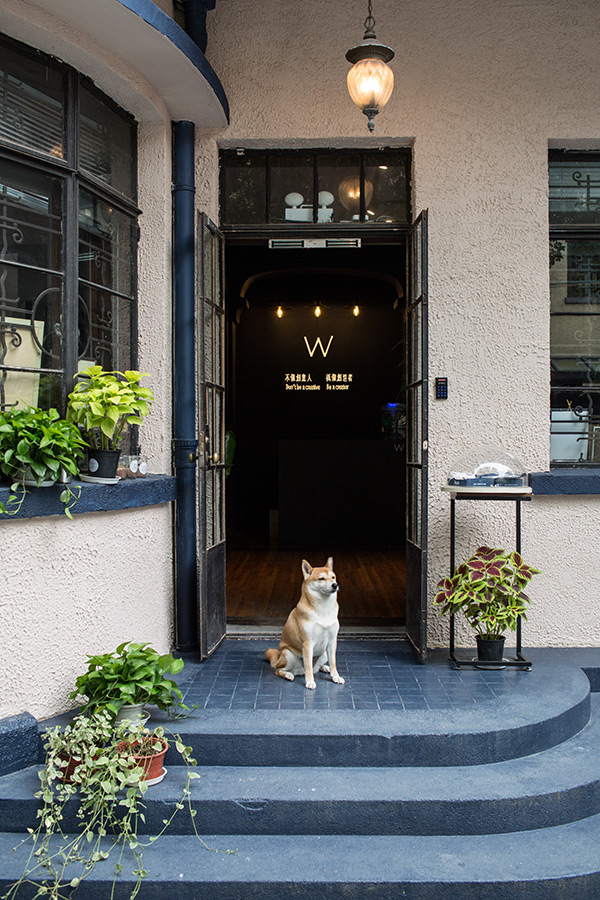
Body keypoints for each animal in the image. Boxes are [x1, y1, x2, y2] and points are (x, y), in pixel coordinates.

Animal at [264, 557, 345, 690]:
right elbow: (308, 666)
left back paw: (324, 667)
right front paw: (310, 682)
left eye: (333, 577)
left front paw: (336, 677)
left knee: (316, 667)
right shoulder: (308, 643)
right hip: (288, 654)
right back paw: (288, 675)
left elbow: (333, 663)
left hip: (324, 653)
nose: (335, 585)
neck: (323, 609)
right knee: (279, 670)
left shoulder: (332, 641)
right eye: (321, 579)